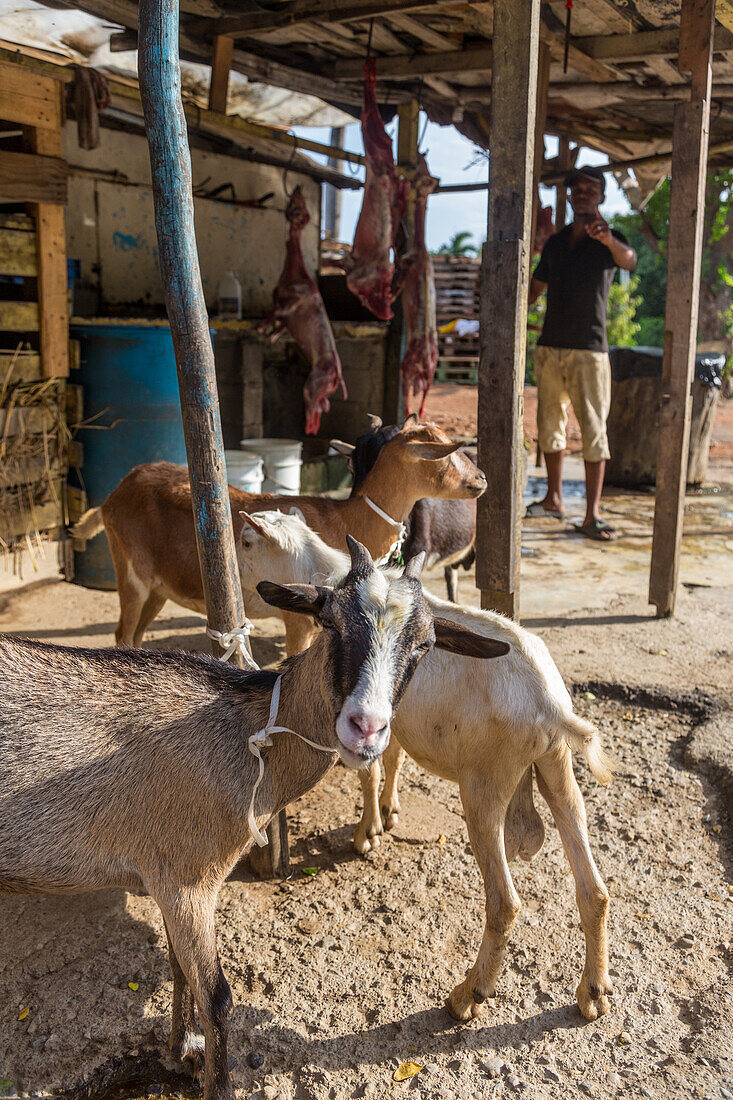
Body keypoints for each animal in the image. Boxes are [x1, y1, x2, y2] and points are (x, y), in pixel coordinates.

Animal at [0, 539, 501, 1100]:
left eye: (426, 644)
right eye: (329, 621)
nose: (366, 727)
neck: (248, 734)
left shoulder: (167, 876)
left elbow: (178, 967)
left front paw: (181, 1050)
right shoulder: (188, 879)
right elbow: (217, 996)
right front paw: (212, 1078)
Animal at [238, 510, 611, 1025]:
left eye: (246, 541)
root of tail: (551, 705)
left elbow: (369, 771)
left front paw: (367, 834)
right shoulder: (391, 720)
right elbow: (393, 759)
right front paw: (390, 813)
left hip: (485, 786)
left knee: (504, 903)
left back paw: (467, 996)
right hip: (557, 768)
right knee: (593, 889)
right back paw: (592, 992)